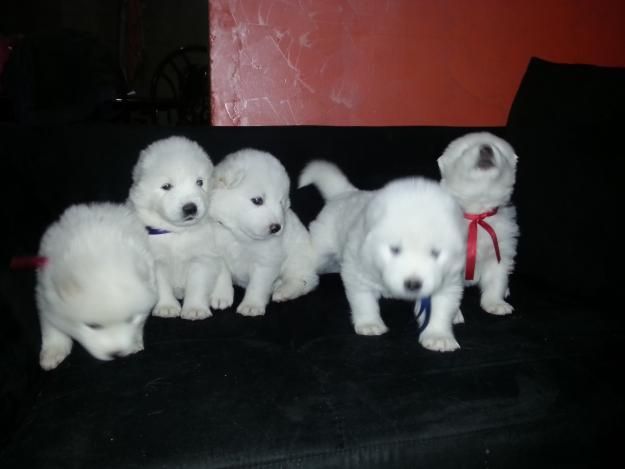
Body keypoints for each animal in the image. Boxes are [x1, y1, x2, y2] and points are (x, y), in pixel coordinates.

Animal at [35, 201, 157, 370]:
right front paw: (53, 351)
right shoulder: (45, 293)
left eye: (129, 319)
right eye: (93, 326)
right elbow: (50, 325)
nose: (116, 354)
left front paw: (135, 341)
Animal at [128, 134, 225, 318]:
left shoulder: (201, 258)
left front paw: (195, 309)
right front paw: (167, 307)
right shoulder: (156, 261)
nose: (190, 208)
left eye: (199, 182)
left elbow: (197, 286)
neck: (177, 232)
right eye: (166, 186)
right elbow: (162, 286)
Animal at [208, 148, 316, 316]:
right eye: (258, 200)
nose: (276, 227)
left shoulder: (266, 263)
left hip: (298, 259)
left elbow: (257, 285)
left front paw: (252, 305)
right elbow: (222, 276)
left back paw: (283, 291)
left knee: (304, 281)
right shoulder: (217, 253)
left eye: (281, 202)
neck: (239, 236)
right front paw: (220, 297)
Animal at [300, 161, 466, 352]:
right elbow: (363, 299)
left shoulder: (451, 279)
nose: (413, 284)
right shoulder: (356, 268)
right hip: (321, 250)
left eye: (435, 253)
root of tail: (345, 193)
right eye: (394, 249)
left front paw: (439, 336)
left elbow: (442, 308)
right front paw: (369, 324)